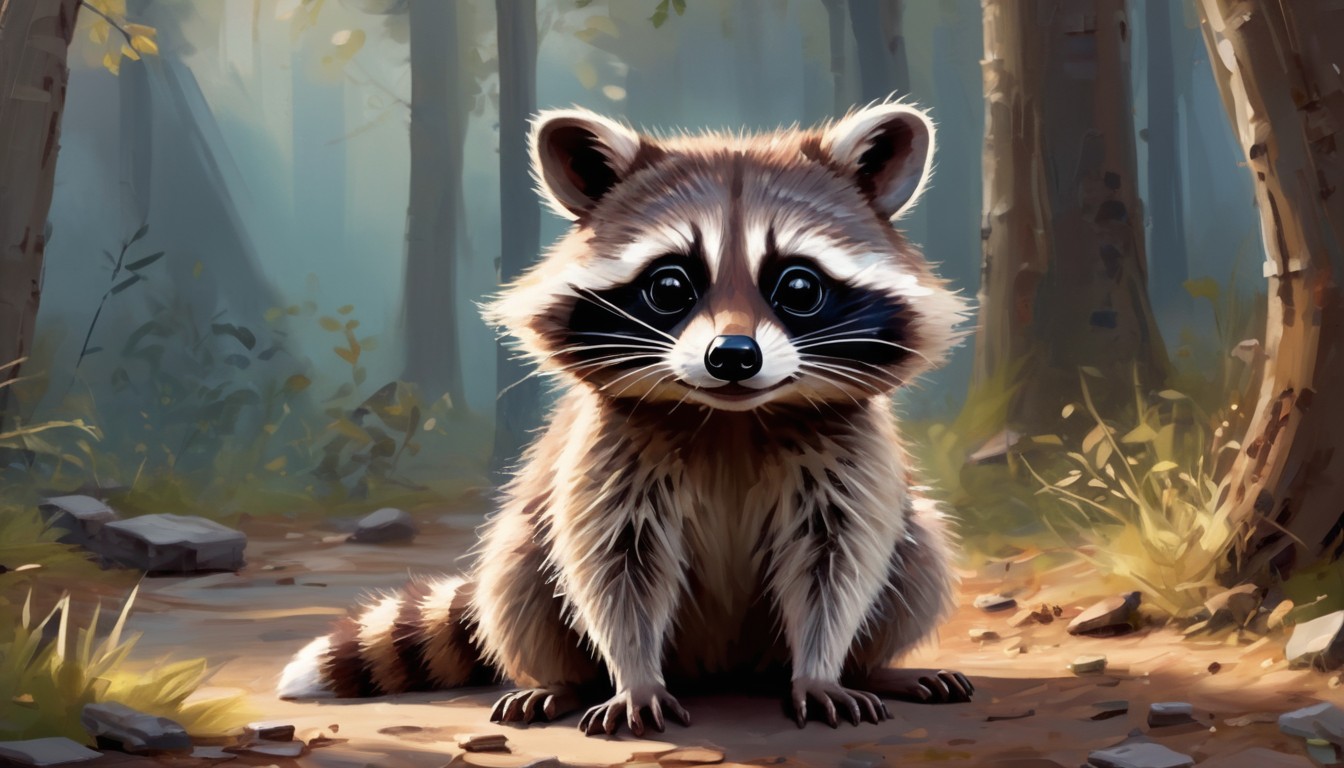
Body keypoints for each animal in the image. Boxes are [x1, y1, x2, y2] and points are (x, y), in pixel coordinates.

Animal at [278, 101, 973, 736]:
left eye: (798, 287)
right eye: (669, 286)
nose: (733, 357)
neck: (730, 419)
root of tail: (724, 669)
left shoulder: (847, 452)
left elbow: (839, 560)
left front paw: (823, 667)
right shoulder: (611, 450)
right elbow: (614, 567)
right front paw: (633, 676)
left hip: (901, 539)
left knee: (919, 548)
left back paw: (876, 668)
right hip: (527, 545)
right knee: (519, 569)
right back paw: (562, 682)